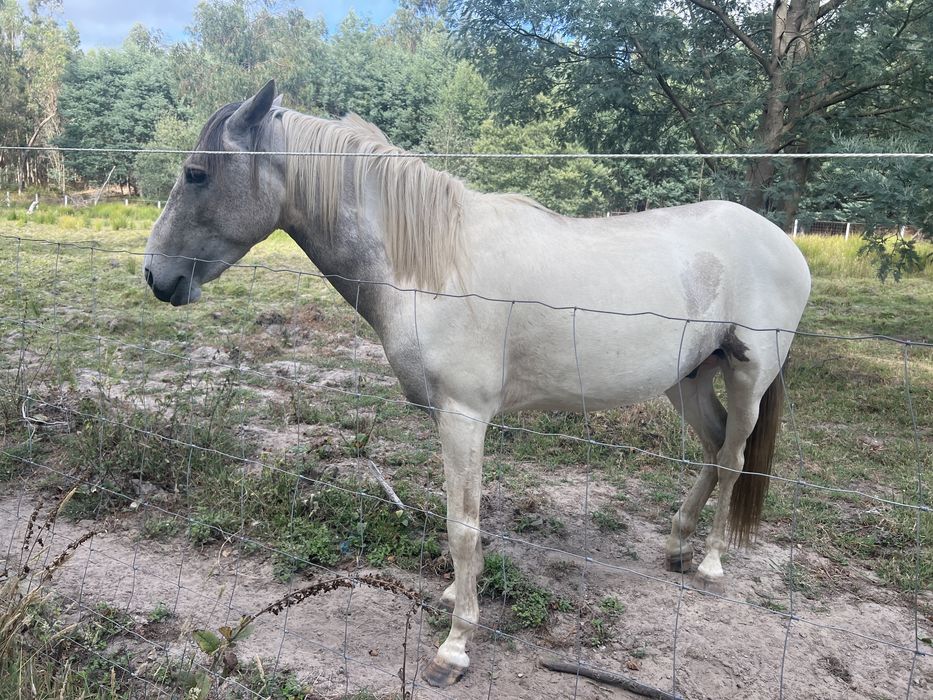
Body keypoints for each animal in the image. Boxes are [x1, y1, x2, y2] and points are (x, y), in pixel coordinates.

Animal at [143, 80, 811, 687]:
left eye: (197, 174)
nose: (156, 275)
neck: (431, 264)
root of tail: (780, 241)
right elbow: (465, 520)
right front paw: (454, 597)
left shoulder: (463, 417)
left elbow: (460, 525)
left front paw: (455, 646)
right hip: (688, 378)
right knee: (714, 447)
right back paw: (676, 545)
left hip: (748, 377)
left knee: (734, 457)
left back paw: (712, 563)